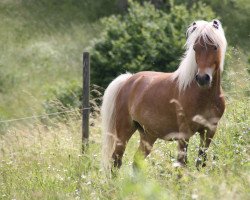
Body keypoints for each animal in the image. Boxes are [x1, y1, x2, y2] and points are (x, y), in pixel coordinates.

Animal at [100, 19, 228, 170]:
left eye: (215, 47)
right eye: (195, 48)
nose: (202, 78)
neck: (204, 96)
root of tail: (129, 80)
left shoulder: (210, 130)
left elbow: (201, 161)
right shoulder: (184, 133)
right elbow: (182, 163)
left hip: (148, 135)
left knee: (136, 162)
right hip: (124, 131)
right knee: (116, 161)